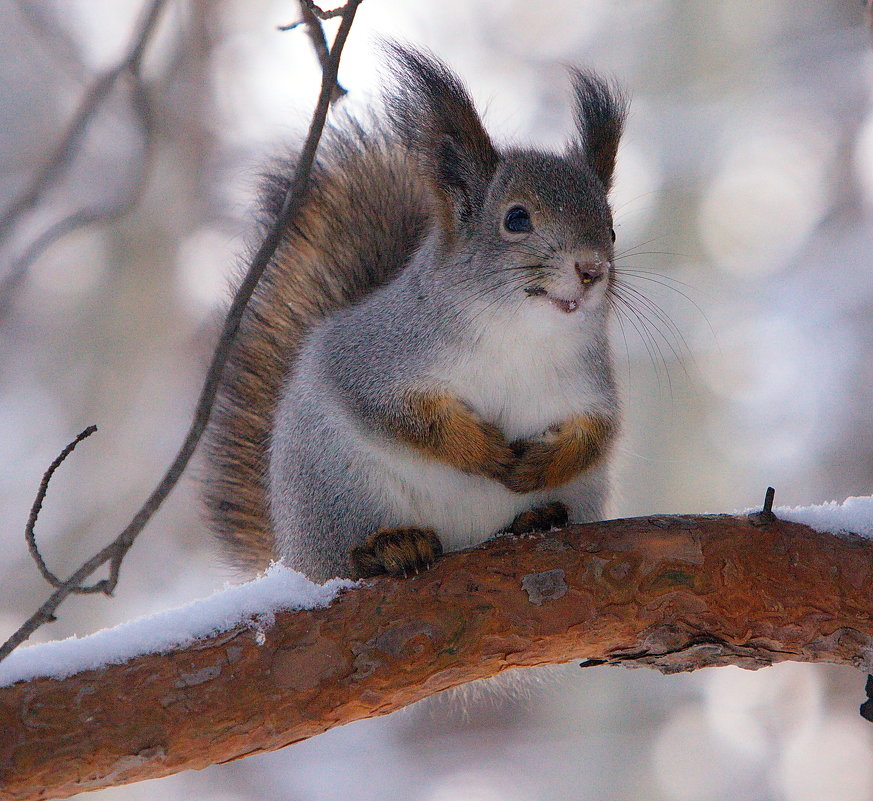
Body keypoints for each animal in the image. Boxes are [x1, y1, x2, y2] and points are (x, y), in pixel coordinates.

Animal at [203, 43, 628, 580]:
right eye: (516, 219)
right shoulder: (375, 357)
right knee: (347, 558)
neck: (523, 335)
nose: (592, 268)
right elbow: (403, 415)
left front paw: (538, 465)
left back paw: (538, 517)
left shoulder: (591, 385)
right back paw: (389, 547)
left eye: (610, 229)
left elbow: (595, 435)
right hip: (339, 492)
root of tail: (294, 555)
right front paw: (483, 450)